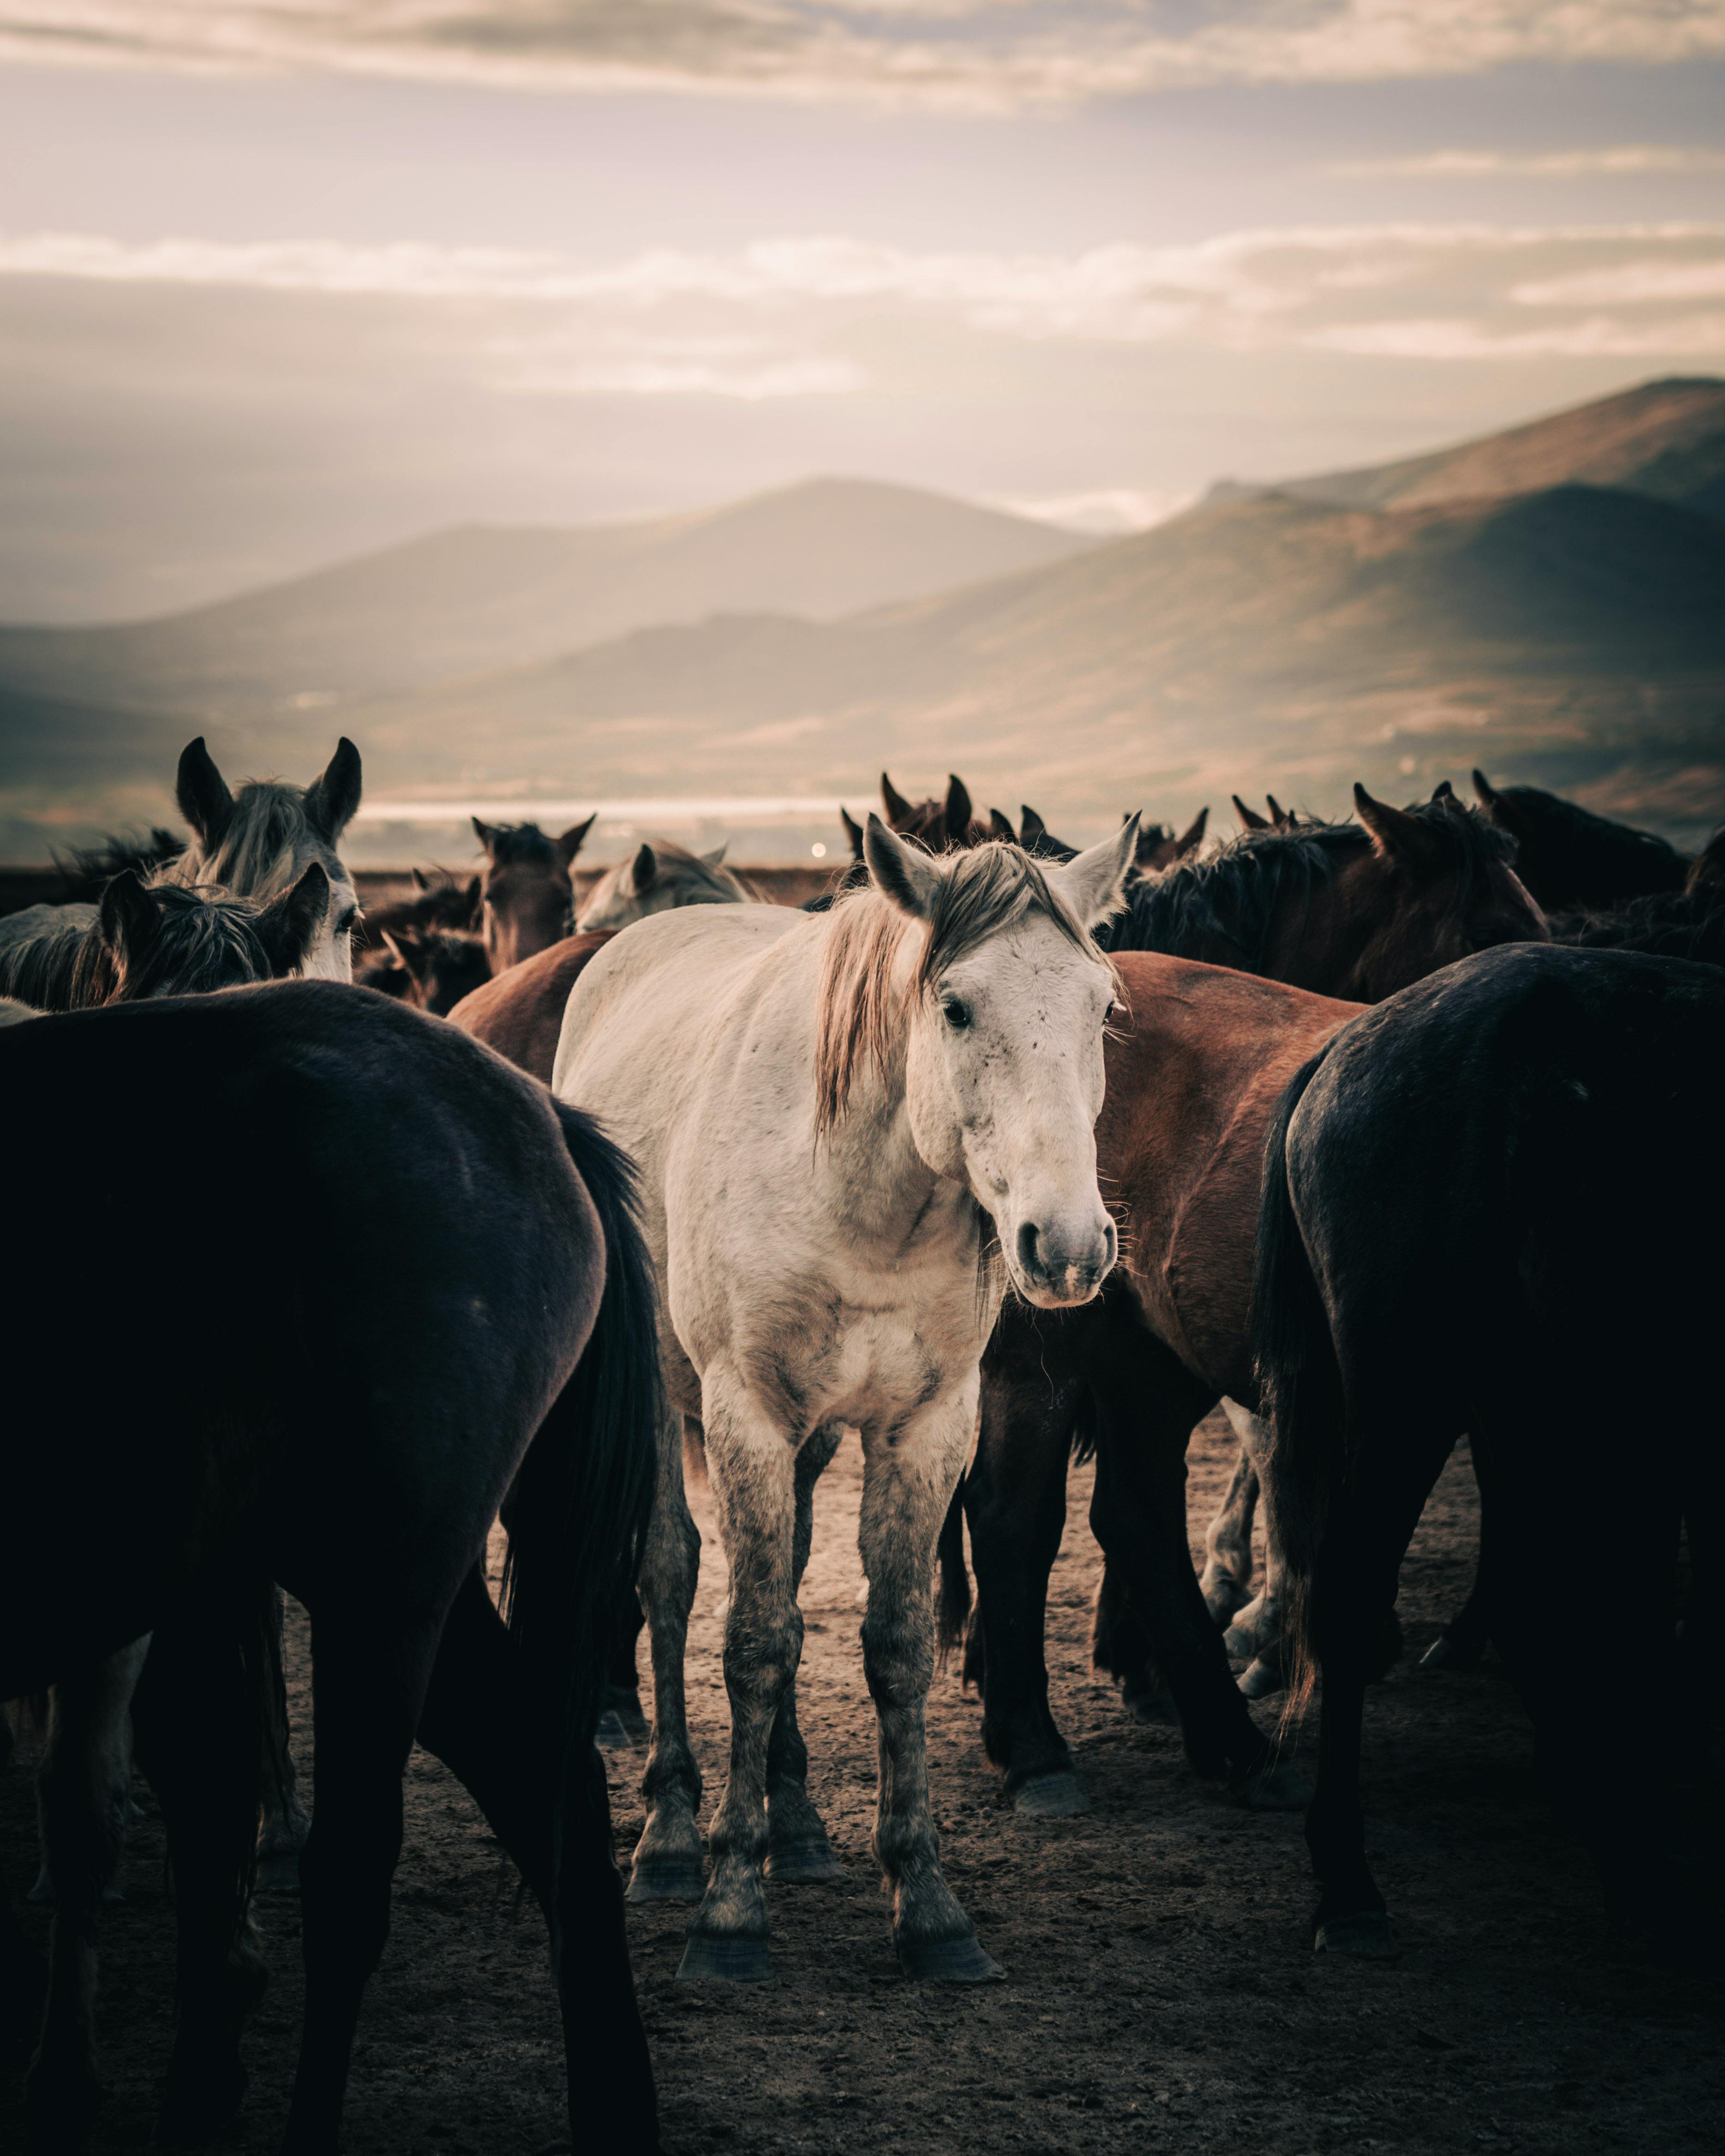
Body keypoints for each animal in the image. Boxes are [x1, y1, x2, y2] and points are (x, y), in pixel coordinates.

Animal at [560, 815, 1138, 1975]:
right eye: (955, 1005)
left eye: (1100, 1006)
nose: (1068, 1245)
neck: (866, 1191)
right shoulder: (743, 1414)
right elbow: (750, 1640)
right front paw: (730, 1908)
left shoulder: (925, 1428)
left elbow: (895, 1643)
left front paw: (926, 1902)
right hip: (669, 1403)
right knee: (673, 1579)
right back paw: (673, 1833)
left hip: (814, 1439)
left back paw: (794, 1821)